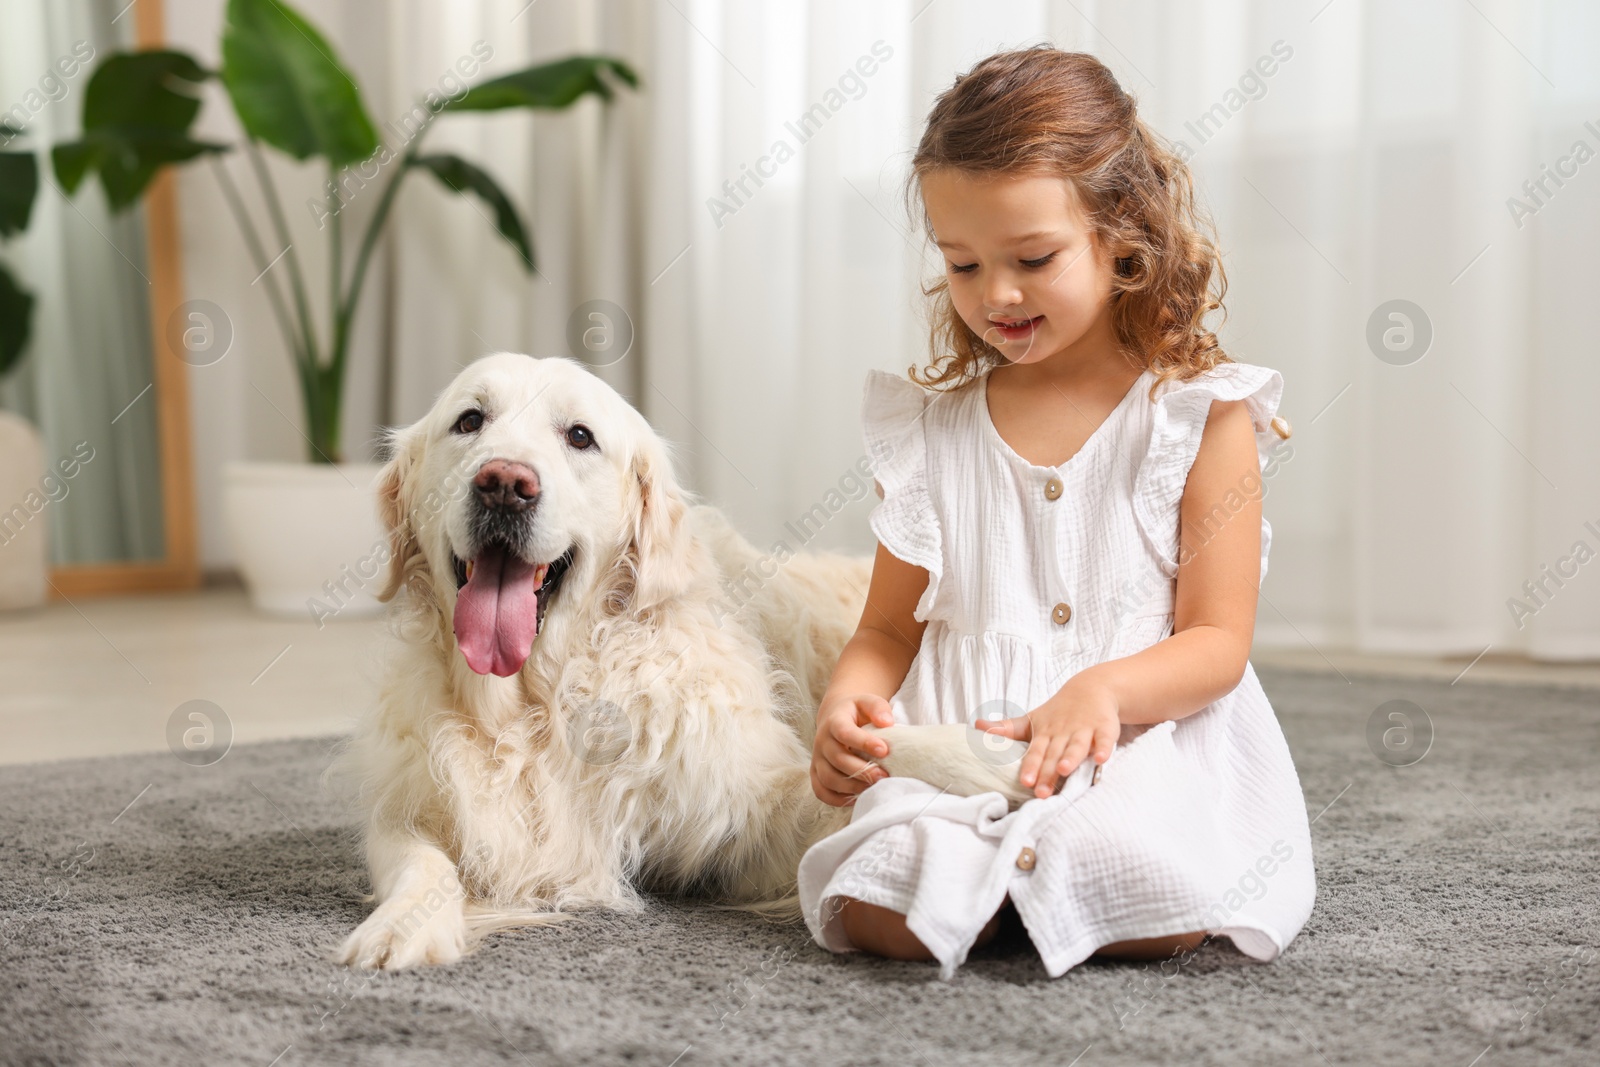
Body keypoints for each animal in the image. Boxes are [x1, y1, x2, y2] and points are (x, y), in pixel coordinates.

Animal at [336, 355, 1024, 972]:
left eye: (579, 436)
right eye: (470, 421)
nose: (505, 484)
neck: (540, 704)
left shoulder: (753, 809)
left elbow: (862, 750)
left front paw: (990, 759)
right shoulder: (413, 805)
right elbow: (418, 860)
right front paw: (402, 926)